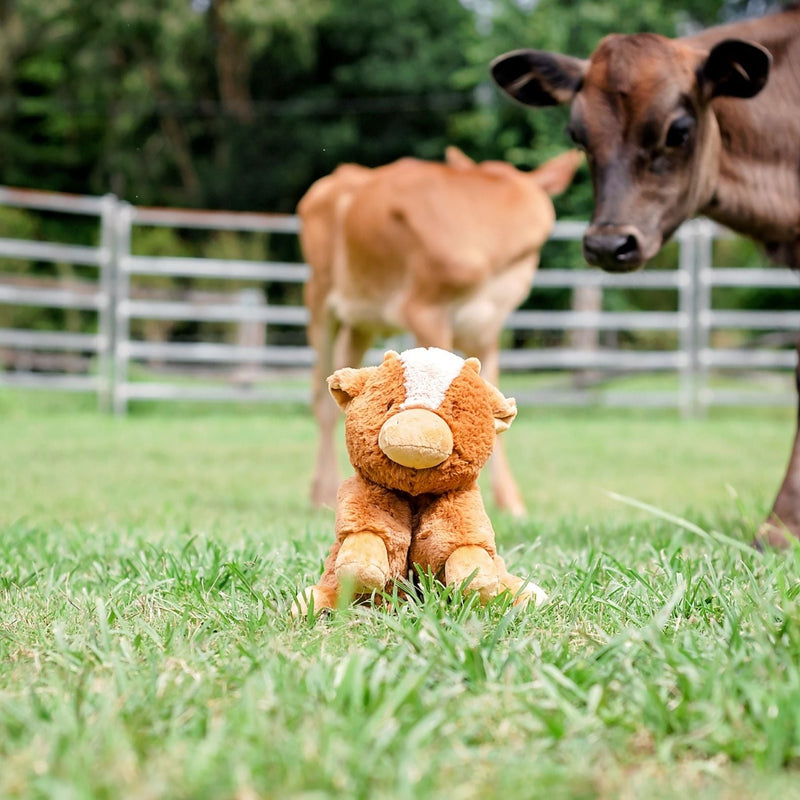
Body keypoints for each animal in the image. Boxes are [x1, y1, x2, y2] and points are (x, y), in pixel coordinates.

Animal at [296, 147, 580, 516]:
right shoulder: (424, 309)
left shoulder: (489, 325)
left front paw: (510, 502)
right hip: (319, 298)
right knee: (321, 395)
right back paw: (324, 493)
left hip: (361, 318)